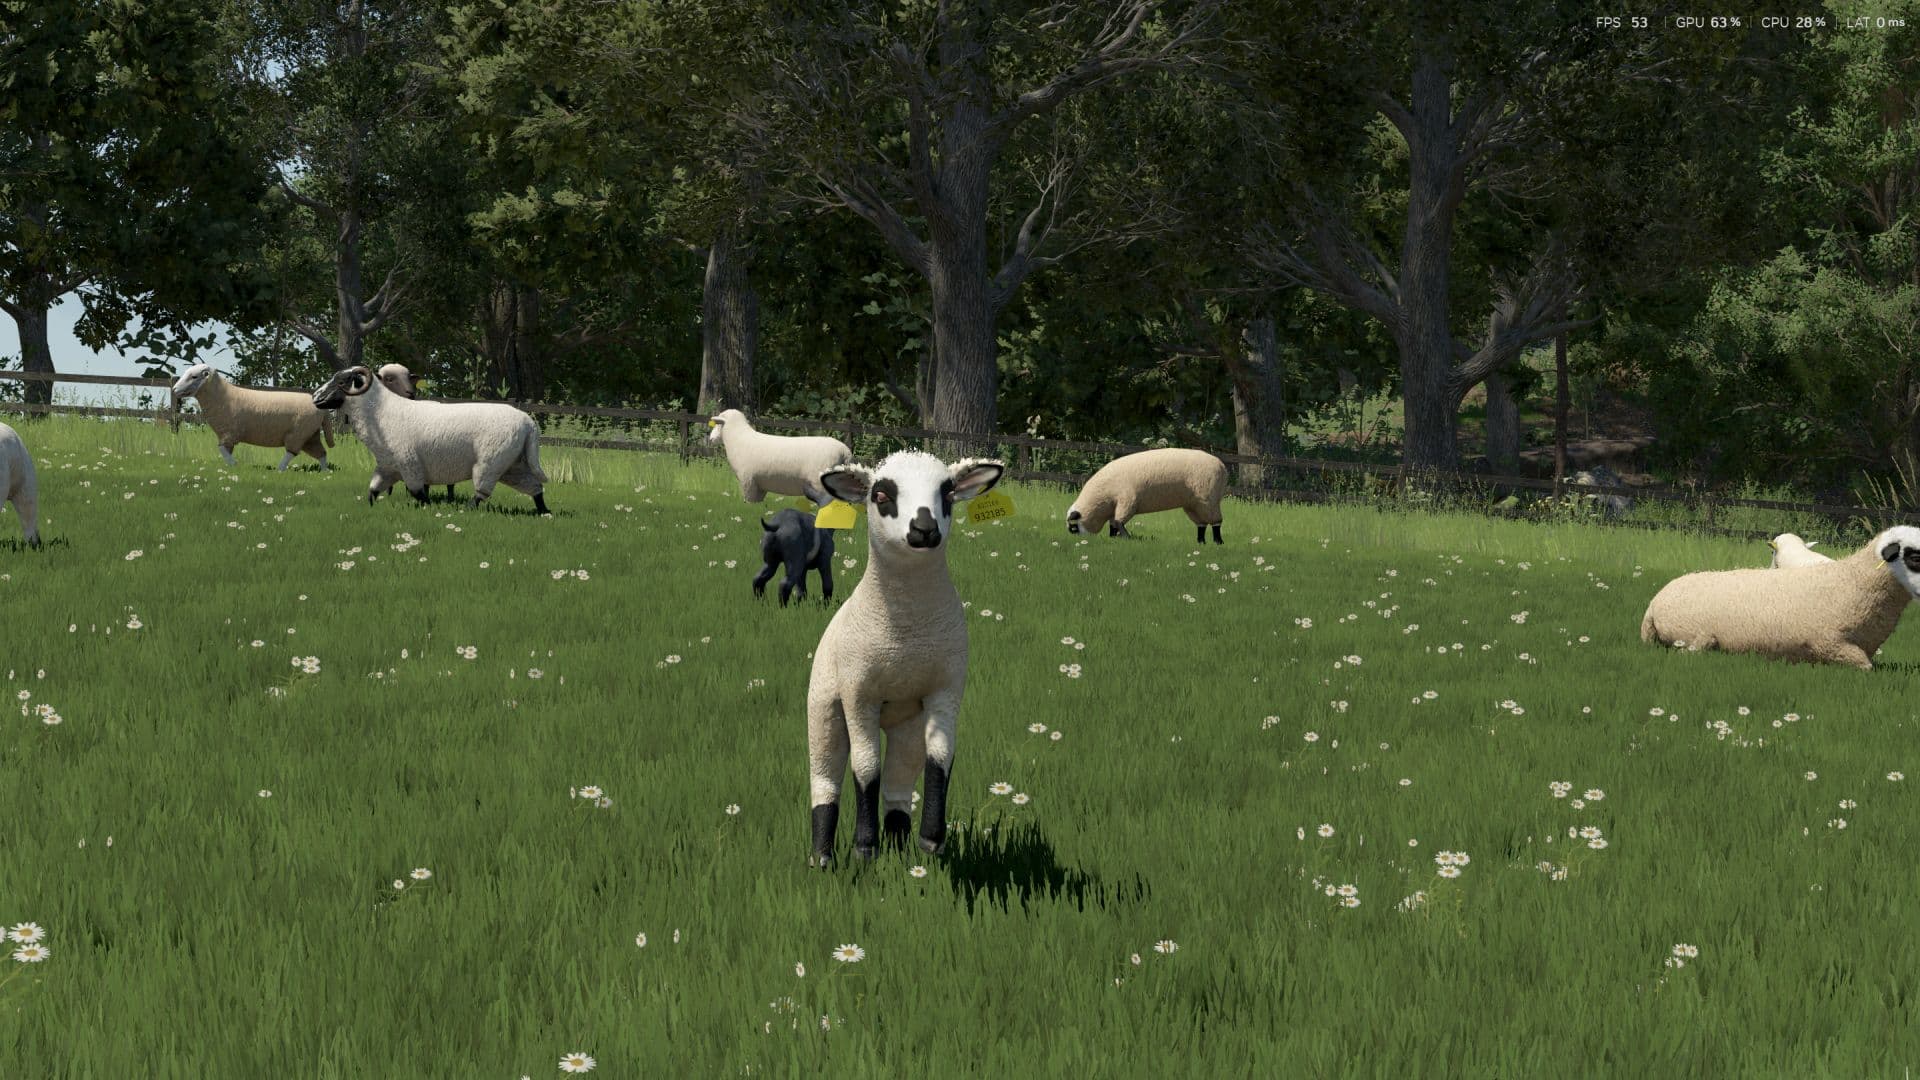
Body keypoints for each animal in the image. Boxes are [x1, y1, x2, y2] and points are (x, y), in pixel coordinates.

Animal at [169, 363, 335, 471]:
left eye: (194, 376)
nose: (174, 389)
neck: (224, 396)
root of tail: (320, 407)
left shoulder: (231, 432)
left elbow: (221, 449)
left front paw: (234, 465)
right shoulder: (227, 434)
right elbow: (225, 451)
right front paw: (228, 467)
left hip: (298, 433)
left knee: (292, 452)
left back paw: (280, 469)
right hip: (310, 435)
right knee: (321, 453)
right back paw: (325, 472)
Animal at [708, 408, 853, 506]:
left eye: (718, 424)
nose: (710, 439)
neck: (737, 438)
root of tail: (844, 451)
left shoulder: (748, 481)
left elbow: (748, 501)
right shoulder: (759, 484)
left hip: (820, 482)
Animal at [804, 452, 1005, 867]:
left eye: (948, 493)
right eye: (880, 495)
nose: (924, 529)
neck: (906, 635)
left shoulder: (946, 689)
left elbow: (941, 757)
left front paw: (931, 839)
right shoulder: (859, 694)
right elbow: (865, 767)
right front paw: (865, 847)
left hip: (906, 722)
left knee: (898, 782)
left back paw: (898, 849)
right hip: (824, 709)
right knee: (825, 781)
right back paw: (823, 859)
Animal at [1066, 447, 1228, 544]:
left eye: (1074, 527)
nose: (1081, 542)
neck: (1101, 497)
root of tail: (1221, 465)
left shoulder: (1127, 500)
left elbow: (1119, 522)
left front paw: (1127, 538)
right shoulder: (1116, 505)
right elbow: (1113, 523)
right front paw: (1113, 538)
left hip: (1208, 499)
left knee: (1216, 522)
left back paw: (1218, 542)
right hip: (1193, 504)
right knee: (1201, 524)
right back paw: (1200, 542)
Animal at [1640, 525, 1920, 670]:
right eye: (1914, 555)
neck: (1852, 581)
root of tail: (1654, 601)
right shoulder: (1830, 643)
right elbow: (1865, 666)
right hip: (1692, 634)